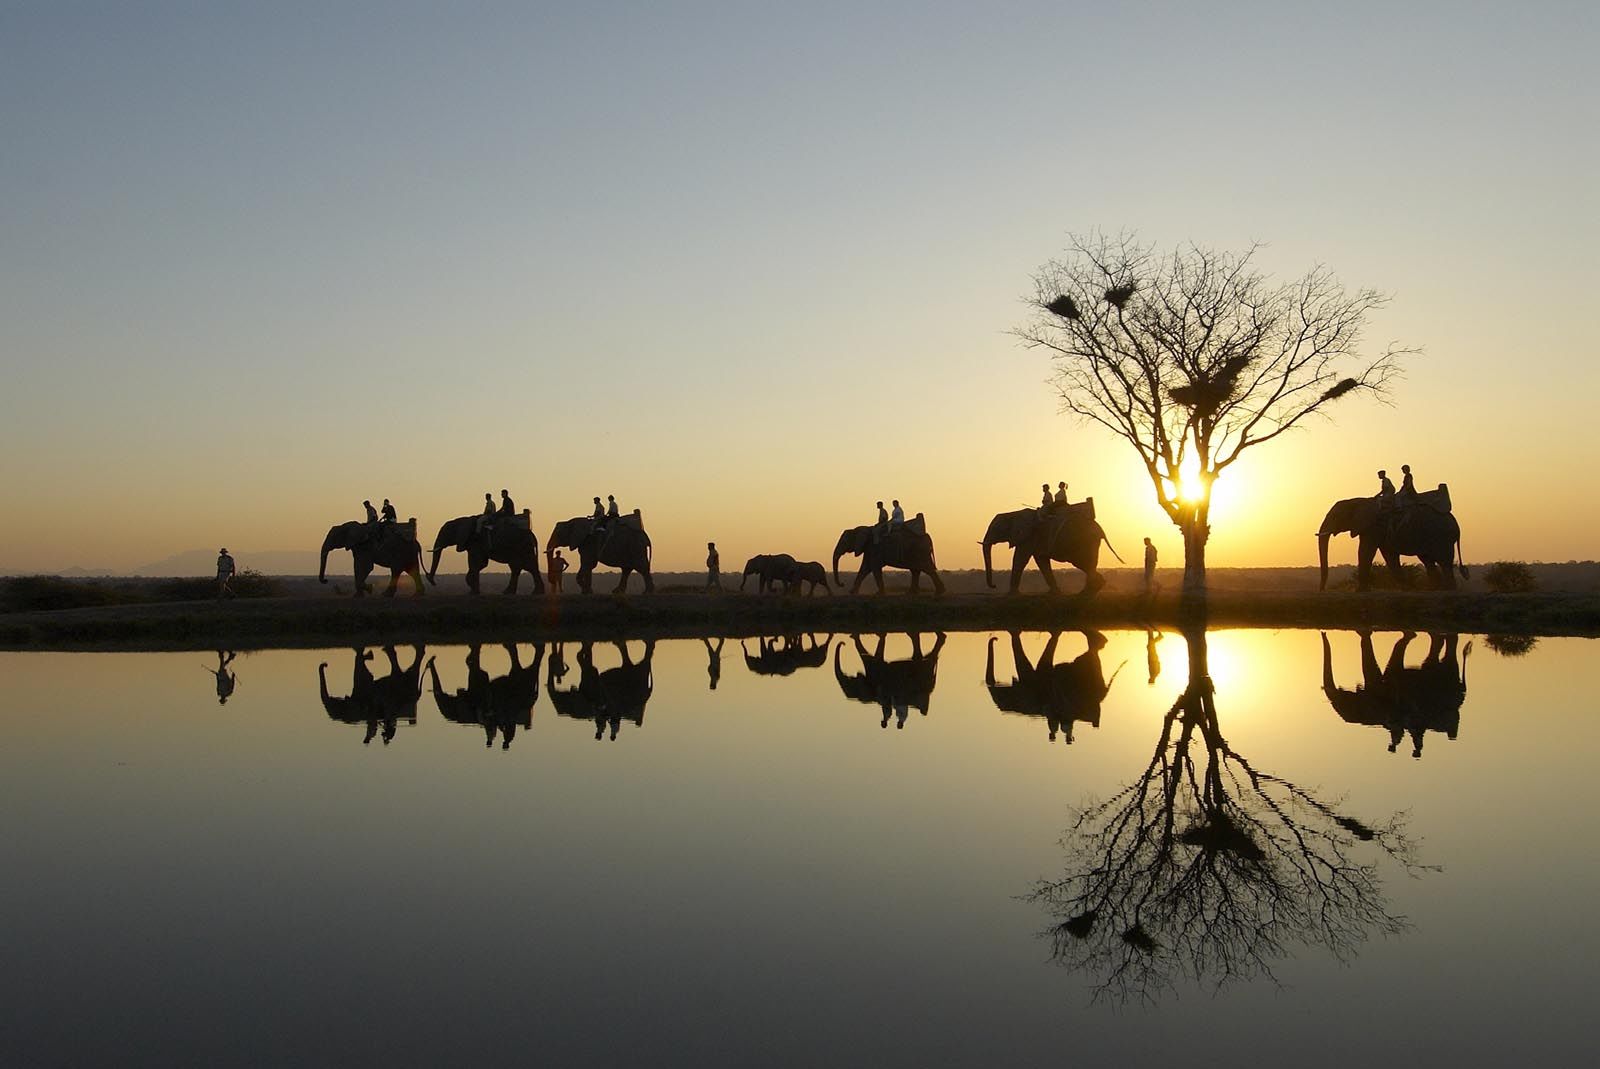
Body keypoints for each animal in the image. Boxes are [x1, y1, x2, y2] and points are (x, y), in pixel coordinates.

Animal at [972, 499, 1126, 592]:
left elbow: (1020, 559)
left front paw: (1011, 594)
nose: (994, 586)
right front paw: (1054, 592)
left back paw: (1089, 590)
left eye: (997, 528)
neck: (1013, 513)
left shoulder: (1029, 536)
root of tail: (1100, 529)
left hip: (1083, 541)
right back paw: (1094, 588)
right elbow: (1041, 561)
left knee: (1082, 562)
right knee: (1087, 563)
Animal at [1318, 486, 1465, 592]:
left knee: (1444, 561)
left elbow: (1366, 551)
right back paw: (1434, 589)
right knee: (1428, 560)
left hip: (1442, 536)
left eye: (1336, 516)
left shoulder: (1374, 526)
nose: (1322, 590)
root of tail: (1456, 525)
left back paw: (1448, 590)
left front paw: (1360, 591)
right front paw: (1406, 589)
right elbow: (1389, 555)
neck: (1360, 500)